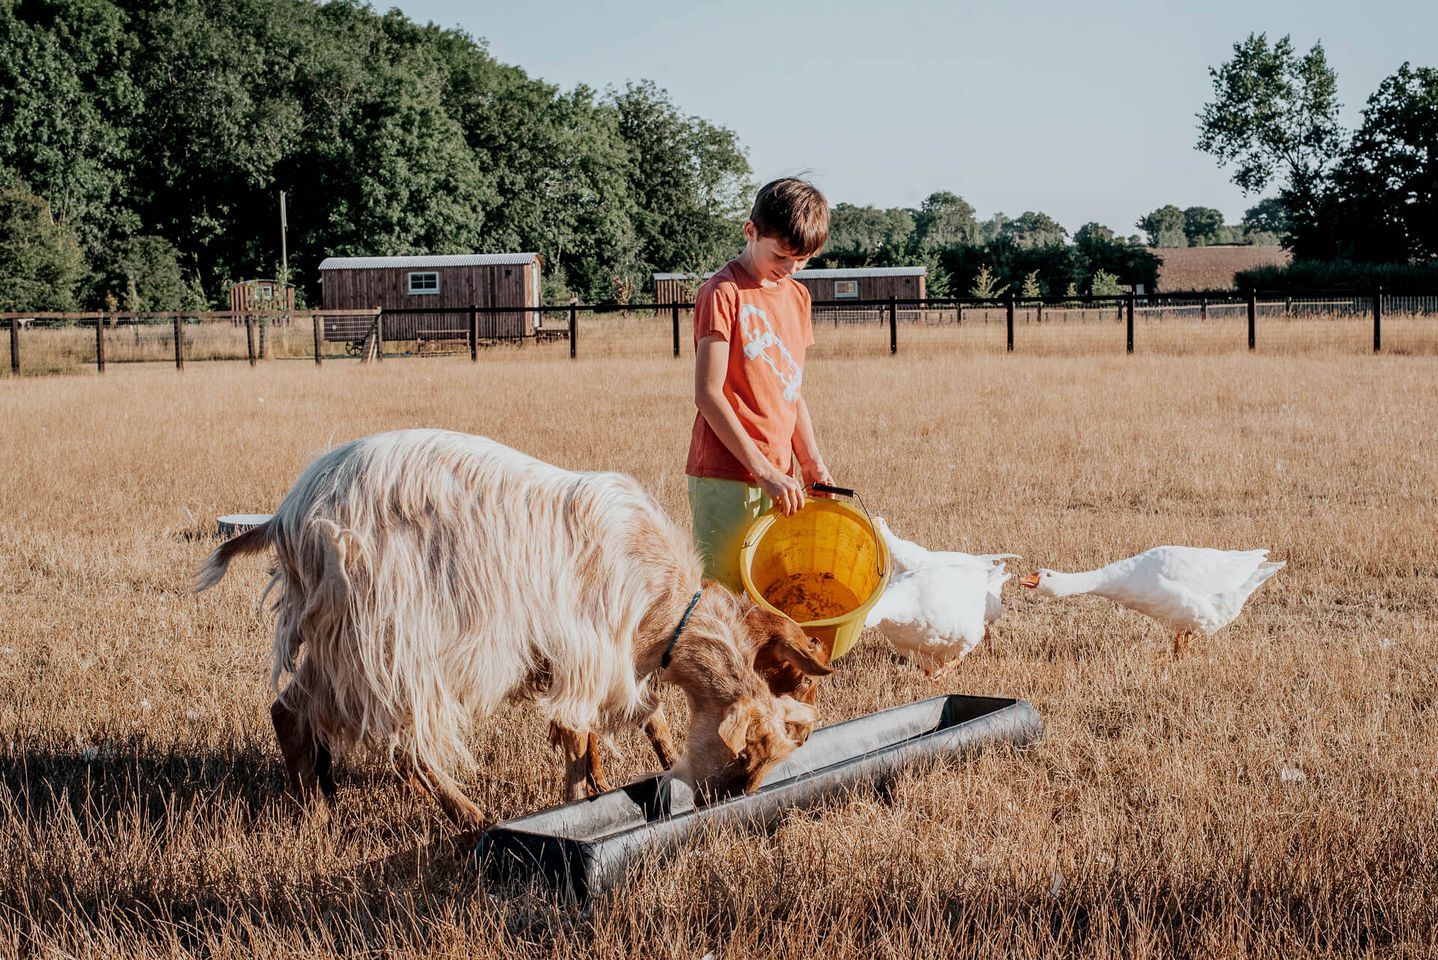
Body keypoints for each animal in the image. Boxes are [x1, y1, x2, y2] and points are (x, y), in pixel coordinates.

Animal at [202, 431, 834, 827]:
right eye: (745, 755)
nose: (717, 804)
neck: (662, 606)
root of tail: (286, 516)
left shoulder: (602, 660)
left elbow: (618, 723)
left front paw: (613, 774)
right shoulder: (588, 649)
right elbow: (580, 734)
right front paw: (576, 800)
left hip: (339, 637)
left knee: (290, 708)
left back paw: (316, 809)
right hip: (388, 634)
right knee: (405, 742)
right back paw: (467, 819)